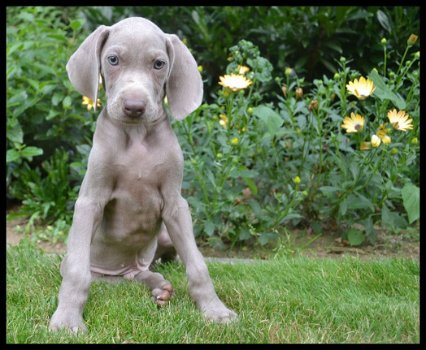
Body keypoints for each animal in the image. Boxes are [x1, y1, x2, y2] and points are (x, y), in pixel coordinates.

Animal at [49, 17, 240, 334]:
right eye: (113, 59)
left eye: (159, 64)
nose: (134, 107)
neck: (136, 136)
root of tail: (120, 273)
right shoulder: (90, 201)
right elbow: (77, 272)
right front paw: (66, 319)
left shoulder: (176, 204)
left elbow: (198, 264)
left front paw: (215, 311)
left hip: (160, 241)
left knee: (146, 272)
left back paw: (160, 288)